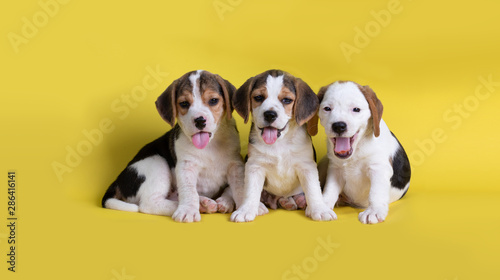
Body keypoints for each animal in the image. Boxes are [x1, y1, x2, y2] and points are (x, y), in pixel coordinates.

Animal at [100, 70, 245, 223]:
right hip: (156, 162)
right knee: (149, 204)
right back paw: (197, 205)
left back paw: (204, 203)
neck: (210, 145)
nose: (199, 121)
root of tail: (117, 181)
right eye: (184, 103)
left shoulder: (236, 165)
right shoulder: (186, 166)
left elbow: (239, 187)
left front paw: (243, 205)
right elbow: (189, 191)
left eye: (213, 100)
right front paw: (188, 210)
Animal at [229, 69, 336, 222]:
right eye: (258, 97)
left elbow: (313, 190)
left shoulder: (306, 166)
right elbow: (250, 191)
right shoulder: (255, 166)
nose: (270, 114)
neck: (279, 143)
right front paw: (246, 210)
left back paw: (297, 201)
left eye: (286, 100)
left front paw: (320, 209)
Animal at [316, 80, 410, 224]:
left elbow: (376, 192)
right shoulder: (335, 169)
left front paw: (374, 211)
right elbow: (329, 190)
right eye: (327, 108)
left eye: (356, 109)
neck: (356, 150)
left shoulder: (379, 169)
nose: (338, 126)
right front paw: (323, 206)